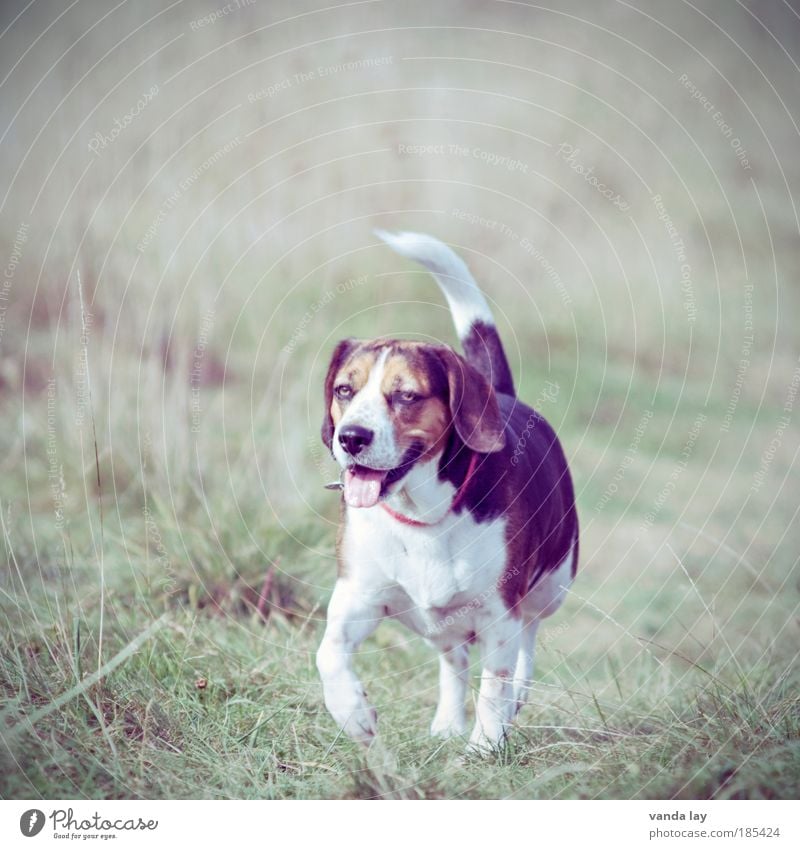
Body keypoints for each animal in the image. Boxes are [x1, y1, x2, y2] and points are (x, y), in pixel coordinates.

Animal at [316, 230, 580, 748]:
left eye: (406, 395)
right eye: (344, 390)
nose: (351, 438)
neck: (422, 515)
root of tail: (502, 394)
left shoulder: (500, 612)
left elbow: (494, 684)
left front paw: (485, 745)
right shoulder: (357, 595)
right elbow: (328, 654)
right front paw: (353, 714)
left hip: (551, 586)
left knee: (529, 637)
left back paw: (514, 699)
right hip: (439, 621)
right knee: (452, 659)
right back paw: (445, 724)